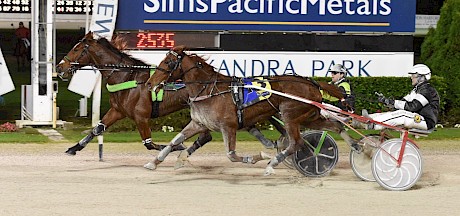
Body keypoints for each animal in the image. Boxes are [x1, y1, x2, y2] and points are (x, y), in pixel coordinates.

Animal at [55, 32, 274, 164]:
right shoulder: (117, 111)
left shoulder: (141, 116)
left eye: (76, 49)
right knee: (208, 135)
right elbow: (97, 129)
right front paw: (73, 148)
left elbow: (149, 143)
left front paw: (175, 147)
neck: (126, 77)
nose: (59, 67)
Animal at [146, 46, 358, 176]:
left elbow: (232, 156)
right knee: (336, 126)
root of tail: (312, 82)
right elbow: (174, 141)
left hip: (290, 115)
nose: (149, 83)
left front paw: (260, 157)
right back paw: (356, 146)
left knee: (297, 143)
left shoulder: (228, 127)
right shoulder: (198, 123)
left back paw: (272, 164)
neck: (209, 90)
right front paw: (154, 162)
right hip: (308, 116)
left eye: (167, 63)